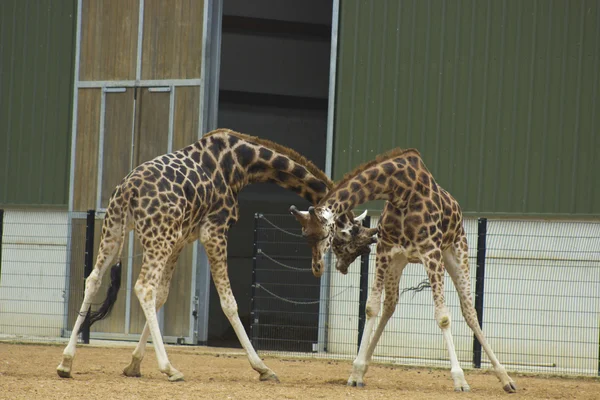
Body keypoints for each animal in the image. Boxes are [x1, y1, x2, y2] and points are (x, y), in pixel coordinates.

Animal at [56, 130, 376, 382]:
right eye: (346, 239)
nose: (319, 268)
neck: (242, 165)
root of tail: (127, 191)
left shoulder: (182, 238)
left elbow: (163, 295)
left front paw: (133, 364)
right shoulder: (215, 230)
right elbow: (229, 302)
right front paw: (263, 368)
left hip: (116, 229)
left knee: (94, 279)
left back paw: (66, 362)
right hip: (156, 236)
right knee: (143, 287)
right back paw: (170, 368)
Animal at [290, 148, 516, 394]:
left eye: (326, 236)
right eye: (304, 235)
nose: (317, 268)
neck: (401, 191)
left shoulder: (431, 252)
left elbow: (443, 316)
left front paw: (460, 379)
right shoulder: (384, 250)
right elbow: (371, 307)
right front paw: (356, 372)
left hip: (456, 252)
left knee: (469, 310)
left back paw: (506, 379)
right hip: (399, 261)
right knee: (390, 305)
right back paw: (365, 365)